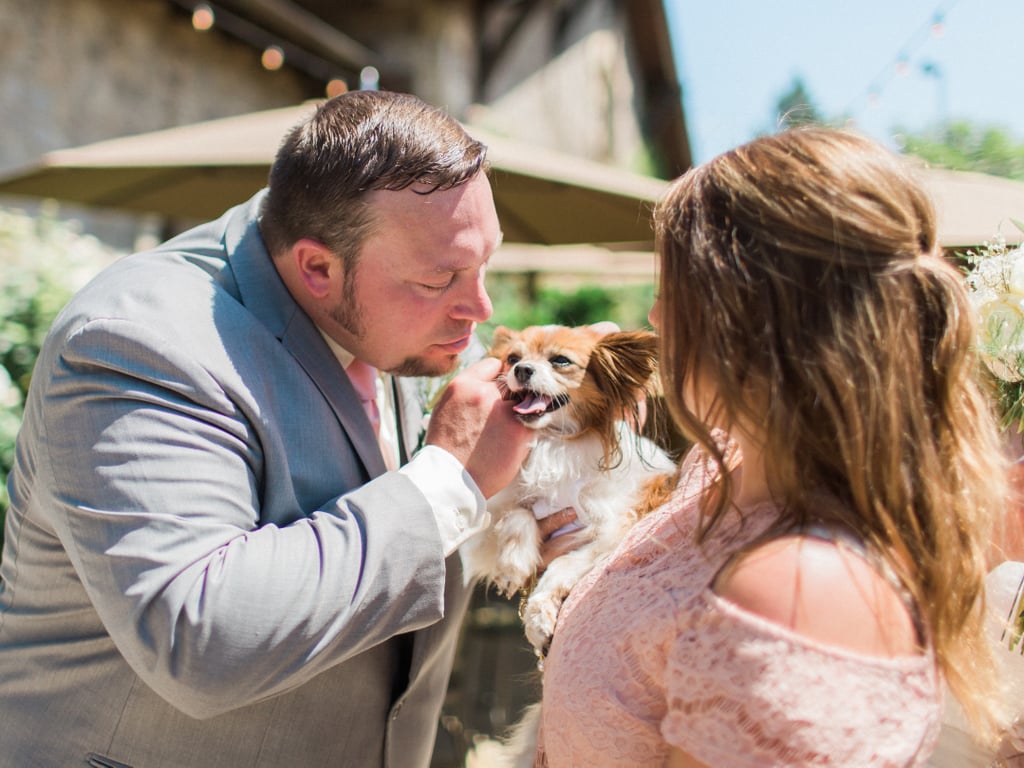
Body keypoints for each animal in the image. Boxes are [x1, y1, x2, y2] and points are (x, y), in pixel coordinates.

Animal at [460, 325, 675, 663]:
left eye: (560, 361)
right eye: (513, 358)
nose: (522, 370)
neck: (554, 442)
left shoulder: (612, 531)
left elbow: (562, 564)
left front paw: (538, 618)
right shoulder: (495, 523)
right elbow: (518, 513)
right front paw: (513, 565)